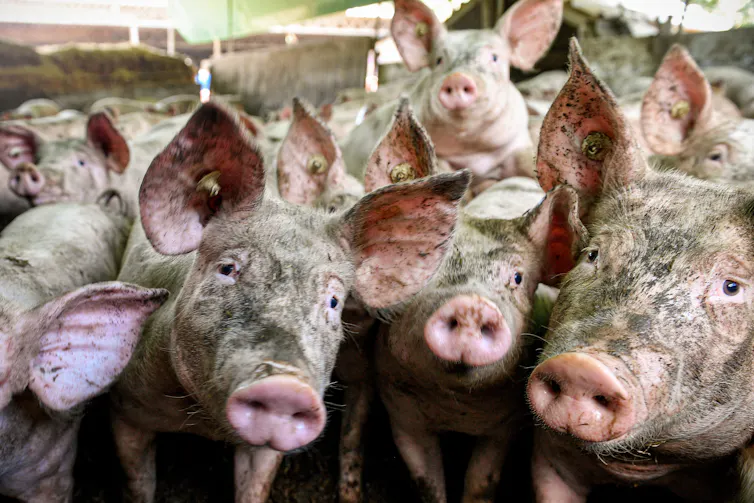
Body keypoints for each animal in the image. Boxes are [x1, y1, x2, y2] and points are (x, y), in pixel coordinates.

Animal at [108, 101, 470, 503]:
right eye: (228, 268)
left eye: (332, 301)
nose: (285, 385)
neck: (205, 424)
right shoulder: (126, 407)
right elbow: (138, 483)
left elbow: (258, 486)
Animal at [341, 0, 564, 194]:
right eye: (439, 60)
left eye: (494, 58)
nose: (457, 78)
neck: (473, 151)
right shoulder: (438, 156)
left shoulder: (516, 143)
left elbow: (528, 160)